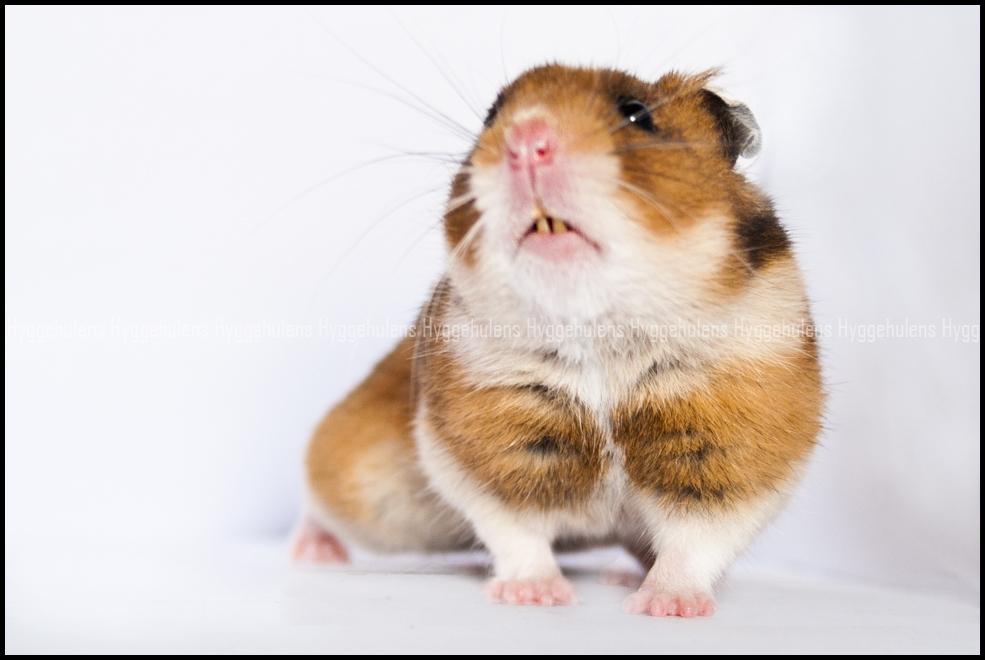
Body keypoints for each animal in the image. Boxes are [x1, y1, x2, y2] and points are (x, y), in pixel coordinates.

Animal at [294, 64, 823, 617]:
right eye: (492, 117)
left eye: (636, 113)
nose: (527, 140)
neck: (597, 330)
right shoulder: (486, 452)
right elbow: (518, 533)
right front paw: (538, 597)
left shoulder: (730, 452)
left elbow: (694, 542)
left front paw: (666, 606)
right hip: (365, 483)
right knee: (314, 503)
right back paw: (314, 554)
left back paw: (623, 577)